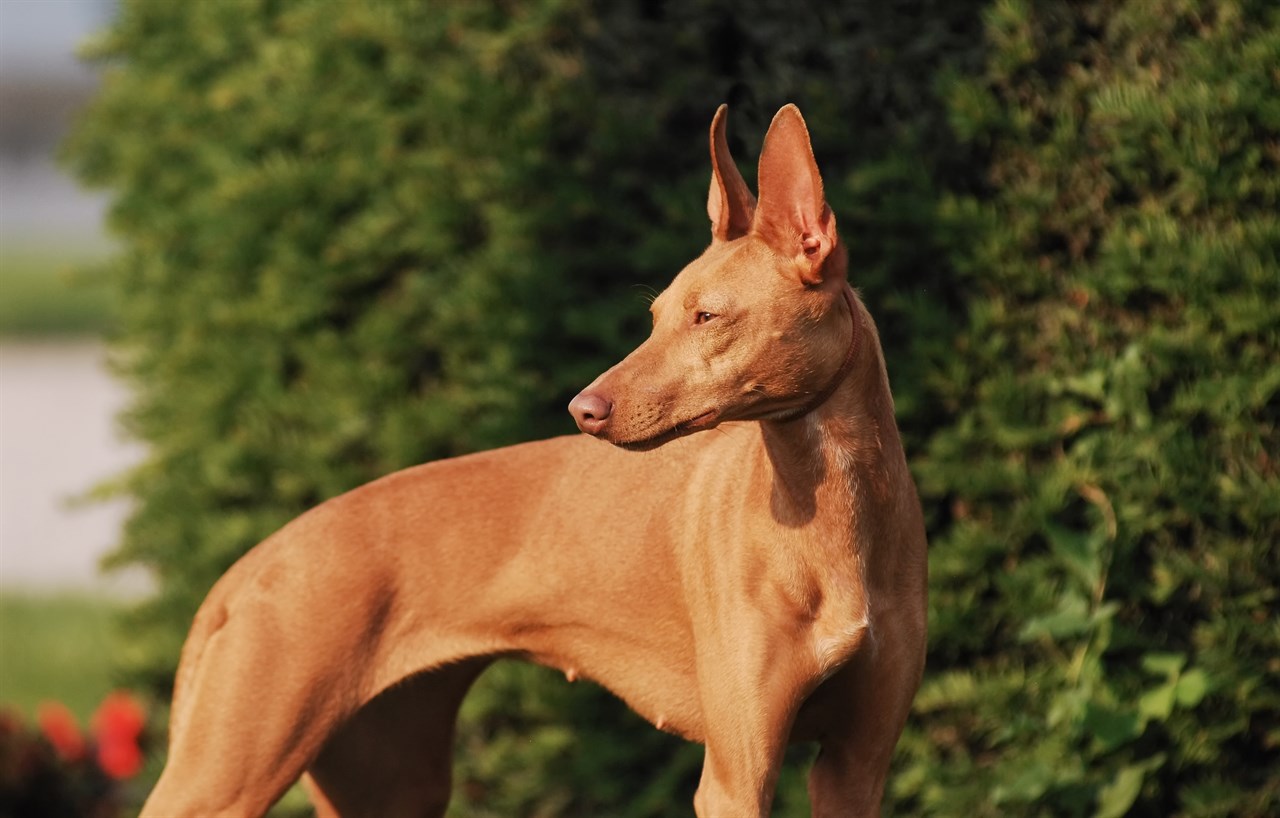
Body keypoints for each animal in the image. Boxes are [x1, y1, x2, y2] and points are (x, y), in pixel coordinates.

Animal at [140, 103, 926, 818]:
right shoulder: (736, 777)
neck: (833, 520)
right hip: (228, 775)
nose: (583, 409)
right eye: (654, 317)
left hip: (390, 780)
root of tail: (249, 568)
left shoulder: (854, 769)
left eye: (708, 317)